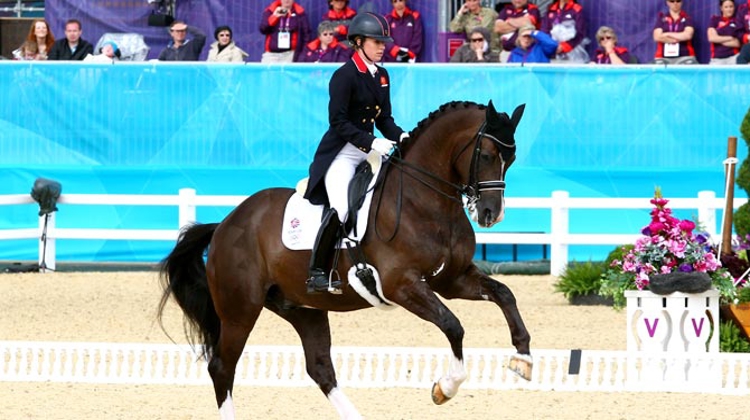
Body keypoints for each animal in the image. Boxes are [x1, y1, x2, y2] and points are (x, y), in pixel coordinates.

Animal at [157, 100, 536, 418]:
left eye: (512, 158)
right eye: (486, 155)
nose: (491, 214)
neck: (424, 200)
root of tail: (226, 223)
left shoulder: (452, 280)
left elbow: (505, 294)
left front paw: (523, 359)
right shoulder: (403, 285)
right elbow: (453, 325)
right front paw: (445, 387)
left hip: (303, 309)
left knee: (320, 368)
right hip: (240, 311)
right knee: (222, 367)